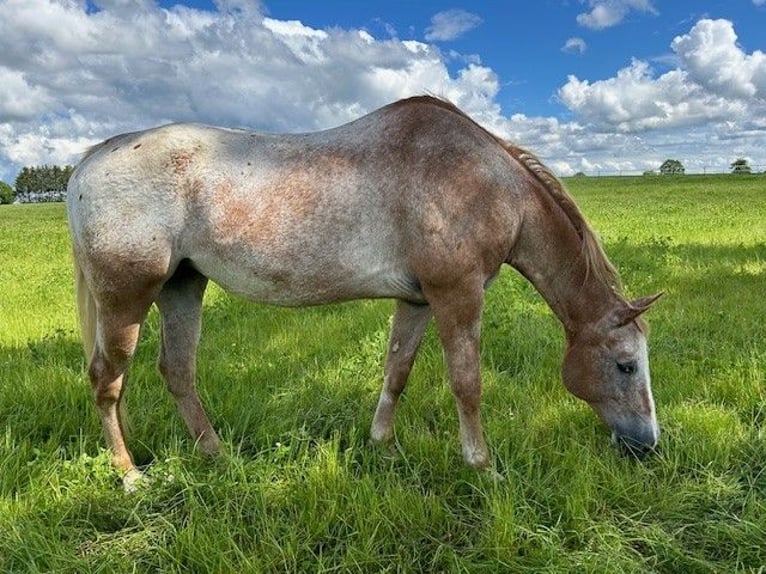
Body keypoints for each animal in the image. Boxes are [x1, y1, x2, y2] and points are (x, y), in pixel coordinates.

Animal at [66, 97, 664, 492]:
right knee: (106, 381)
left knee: (177, 372)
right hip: (126, 299)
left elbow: (396, 372)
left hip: (182, 287)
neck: (482, 181)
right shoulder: (458, 295)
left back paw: (217, 456)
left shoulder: (419, 301)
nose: (648, 444)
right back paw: (130, 477)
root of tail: (93, 160)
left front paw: (383, 445)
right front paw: (482, 465)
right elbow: (467, 384)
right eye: (627, 365)